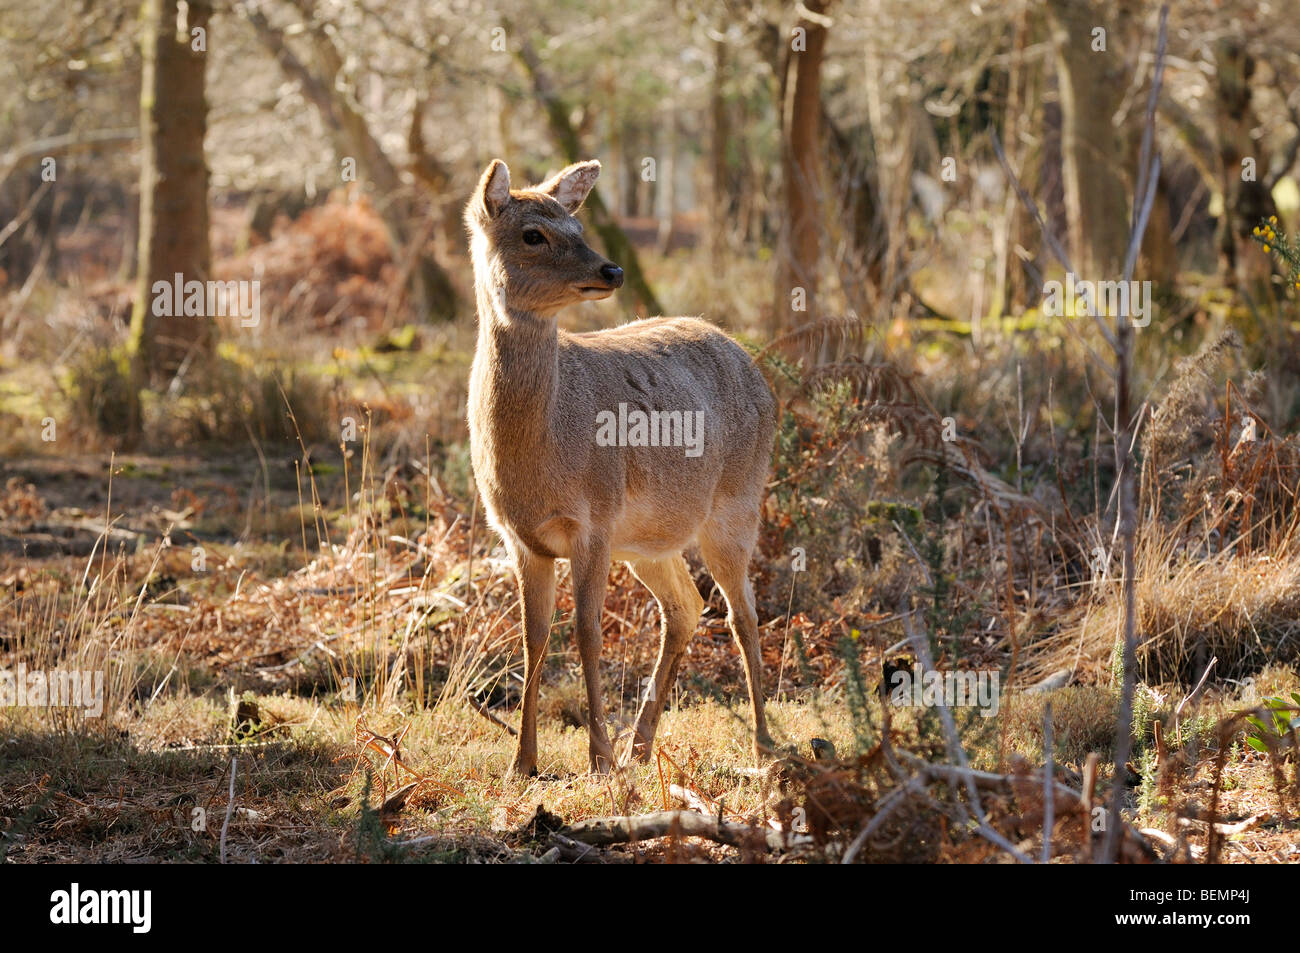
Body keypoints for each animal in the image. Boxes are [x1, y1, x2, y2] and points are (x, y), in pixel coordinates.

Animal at [465, 157, 774, 780]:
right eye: (533, 234)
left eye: (578, 227)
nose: (612, 269)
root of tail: (748, 359)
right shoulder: (520, 538)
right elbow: (534, 639)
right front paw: (522, 763)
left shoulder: (595, 519)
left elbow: (586, 633)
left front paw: (598, 758)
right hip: (649, 541)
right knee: (686, 606)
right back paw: (643, 746)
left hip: (736, 504)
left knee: (742, 615)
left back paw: (761, 744)